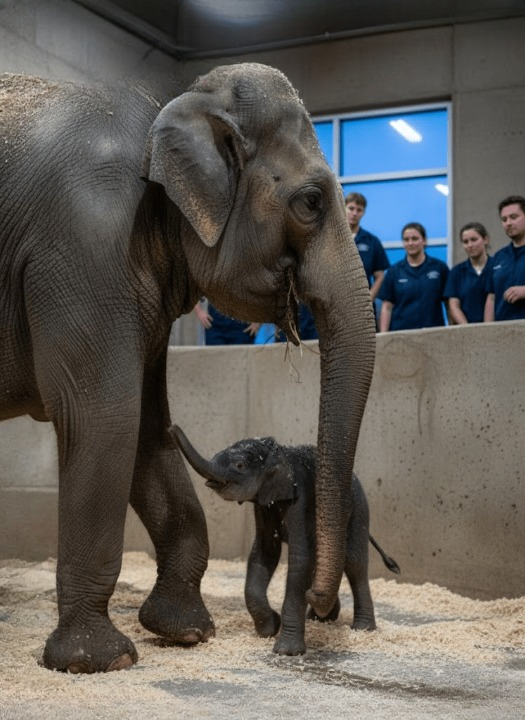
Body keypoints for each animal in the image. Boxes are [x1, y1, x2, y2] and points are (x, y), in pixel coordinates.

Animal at [0, 63, 376, 672]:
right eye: (312, 201)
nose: (324, 609)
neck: (171, 108)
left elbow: (146, 425)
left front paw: (185, 632)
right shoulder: (84, 245)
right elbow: (104, 414)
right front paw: (97, 661)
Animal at [170, 425, 399, 656]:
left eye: (240, 465)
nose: (171, 428)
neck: (279, 454)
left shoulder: (301, 497)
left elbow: (300, 556)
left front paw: (286, 651)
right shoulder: (264, 503)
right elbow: (265, 552)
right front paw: (270, 627)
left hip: (359, 509)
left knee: (354, 562)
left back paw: (362, 628)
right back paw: (320, 618)